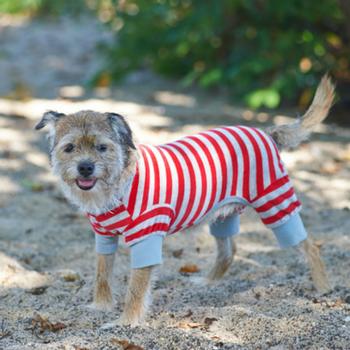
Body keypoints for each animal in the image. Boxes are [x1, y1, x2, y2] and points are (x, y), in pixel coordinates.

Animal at [35, 75, 334, 326]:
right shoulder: (104, 237)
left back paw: (323, 288)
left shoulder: (146, 237)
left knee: (310, 246)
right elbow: (102, 275)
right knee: (229, 250)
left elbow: (136, 288)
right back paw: (209, 283)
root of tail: (266, 134)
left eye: (102, 147)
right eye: (69, 148)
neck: (118, 186)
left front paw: (127, 322)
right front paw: (100, 306)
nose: (85, 167)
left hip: (275, 202)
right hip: (222, 215)